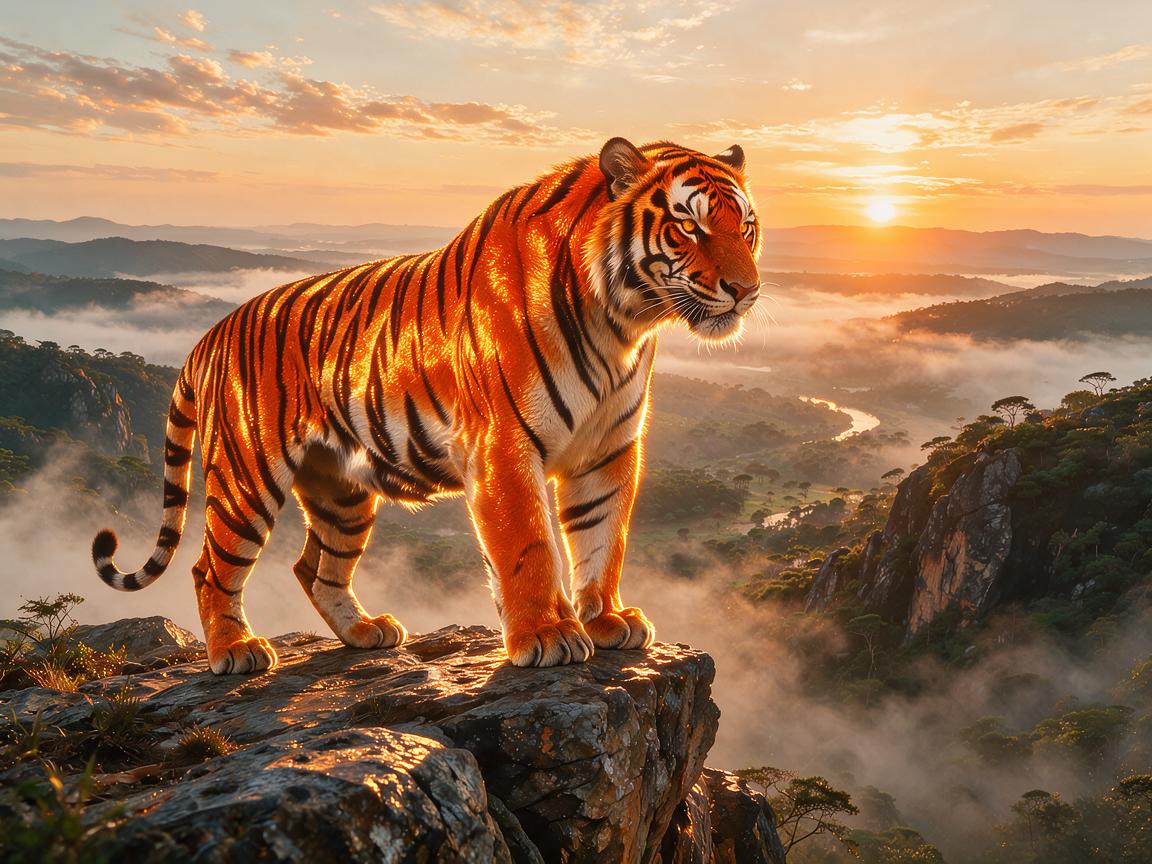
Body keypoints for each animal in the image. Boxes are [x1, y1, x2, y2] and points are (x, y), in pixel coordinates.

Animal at [92, 137, 762, 674]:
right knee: (211, 566)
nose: (748, 290)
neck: (622, 322)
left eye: (747, 228)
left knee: (314, 567)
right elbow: (529, 546)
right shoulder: (503, 445)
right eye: (691, 226)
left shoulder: (609, 449)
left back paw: (366, 633)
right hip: (246, 478)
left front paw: (605, 619)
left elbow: (603, 539)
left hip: (342, 490)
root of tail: (213, 331)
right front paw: (548, 635)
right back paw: (235, 651)